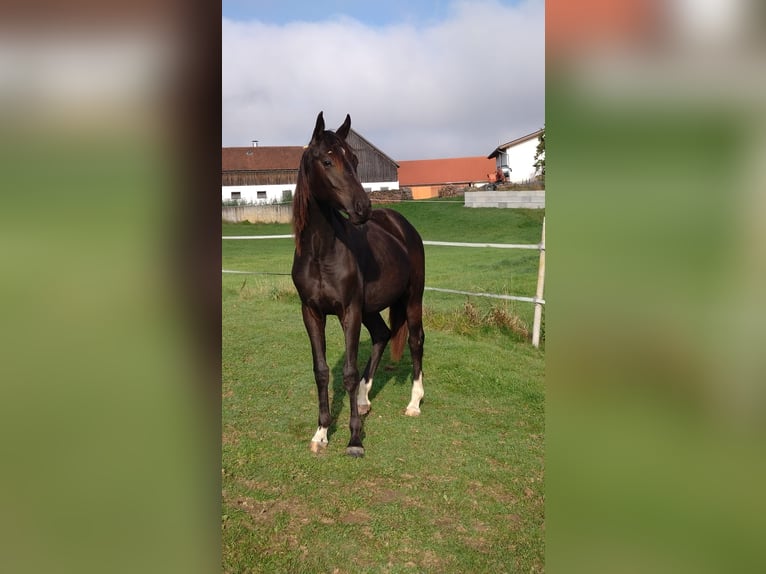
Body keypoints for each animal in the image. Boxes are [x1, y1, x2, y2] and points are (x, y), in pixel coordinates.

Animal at [291, 112, 426, 457]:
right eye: (327, 161)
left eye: (353, 159)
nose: (363, 208)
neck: (321, 251)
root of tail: (401, 224)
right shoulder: (311, 312)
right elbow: (322, 371)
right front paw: (321, 432)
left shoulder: (348, 311)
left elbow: (349, 373)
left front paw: (354, 439)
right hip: (370, 308)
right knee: (382, 335)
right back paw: (365, 400)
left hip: (412, 299)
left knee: (415, 340)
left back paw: (414, 403)